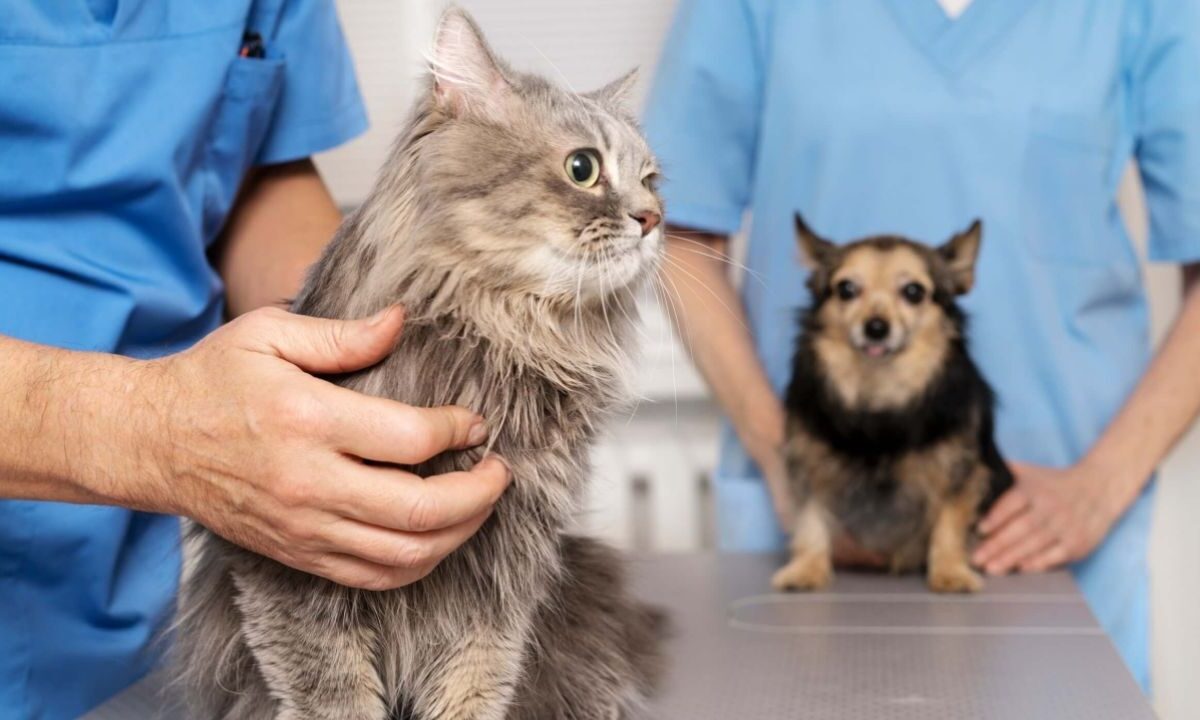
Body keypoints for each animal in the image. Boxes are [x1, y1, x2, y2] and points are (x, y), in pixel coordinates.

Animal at [174, 7, 672, 720]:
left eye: (652, 180)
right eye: (583, 167)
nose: (653, 218)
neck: (504, 339)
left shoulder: (500, 585)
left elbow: (474, 687)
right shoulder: (291, 576)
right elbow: (335, 696)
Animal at [768, 216, 1012, 592]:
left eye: (913, 292)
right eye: (846, 289)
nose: (876, 327)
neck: (879, 392)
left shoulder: (960, 472)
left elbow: (949, 523)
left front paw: (950, 572)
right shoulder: (809, 464)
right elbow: (811, 518)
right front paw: (806, 569)